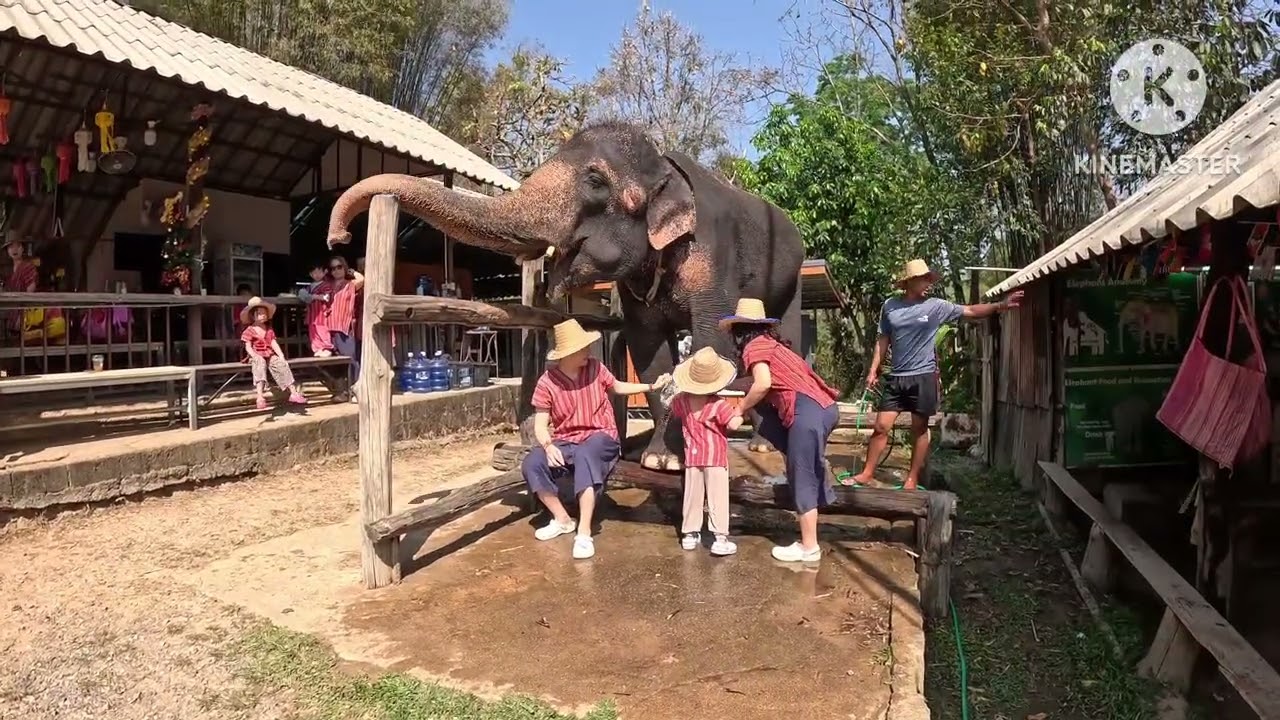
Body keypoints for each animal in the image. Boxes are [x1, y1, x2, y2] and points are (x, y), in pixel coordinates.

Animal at [326, 122, 806, 471]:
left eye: (594, 181)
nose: (338, 238)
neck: (665, 166)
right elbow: (650, 353)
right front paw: (660, 459)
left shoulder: (711, 257)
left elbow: (710, 343)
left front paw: (678, 456)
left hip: (796, 274)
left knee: (786, 341)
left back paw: (764, 447)